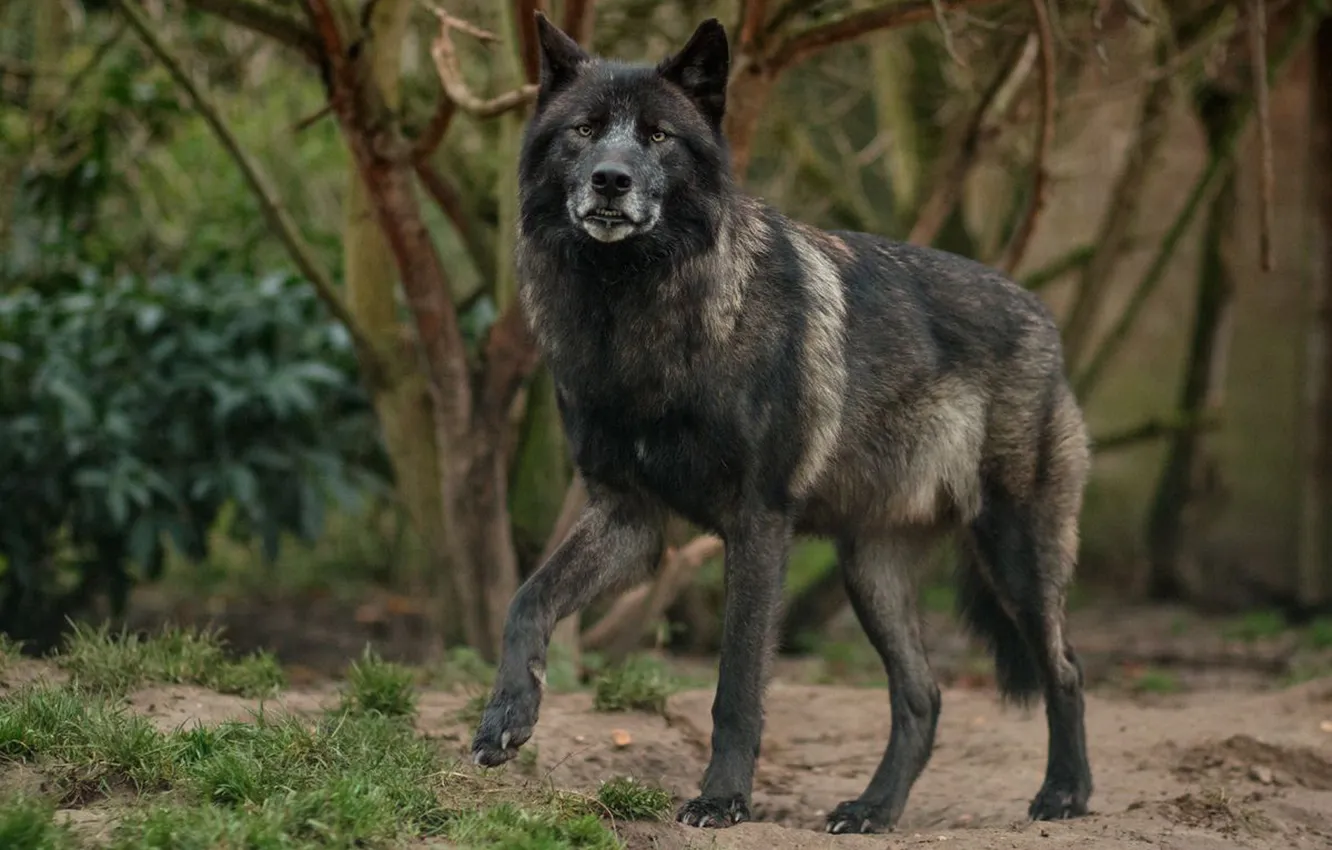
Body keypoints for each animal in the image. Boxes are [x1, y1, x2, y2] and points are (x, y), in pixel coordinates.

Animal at [471, 12, 1094, 835]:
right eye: (585, 130)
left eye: (659, 136)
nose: (611, 179)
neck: (633, 311)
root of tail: (1041, 313)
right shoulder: (628, 518)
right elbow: (525, 600)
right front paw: (506, 715)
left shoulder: (757, 522)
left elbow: (736, 685)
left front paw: (723, 799)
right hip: (871, 574)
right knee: (922, 696)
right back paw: (873, 810)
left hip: (1014, 555)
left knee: (1065, 666)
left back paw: (1065, 793)